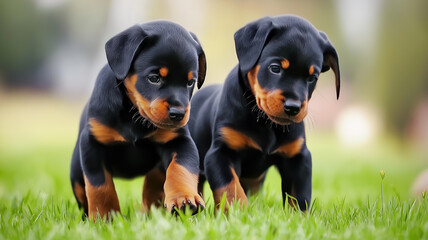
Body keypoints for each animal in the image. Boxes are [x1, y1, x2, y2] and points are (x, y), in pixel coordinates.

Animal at [70, 21, 207, 219]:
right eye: (154, 78)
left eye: (190, 82)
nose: (178, 113)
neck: (133, 116)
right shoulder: (92, 144)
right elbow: (100, 186)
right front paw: (105, 217)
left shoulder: (180, 141)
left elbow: (181, 169)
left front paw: (184, 197)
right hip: (76, 173)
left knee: (153, 185)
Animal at [189, 15, 340, 210]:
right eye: (275, 68)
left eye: (312, 78)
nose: (293, 107)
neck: (265, 122)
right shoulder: (220, 153)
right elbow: (230, 188)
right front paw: (239, 212)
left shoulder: (298, 158)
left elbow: (299, 197)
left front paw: (298, 217)